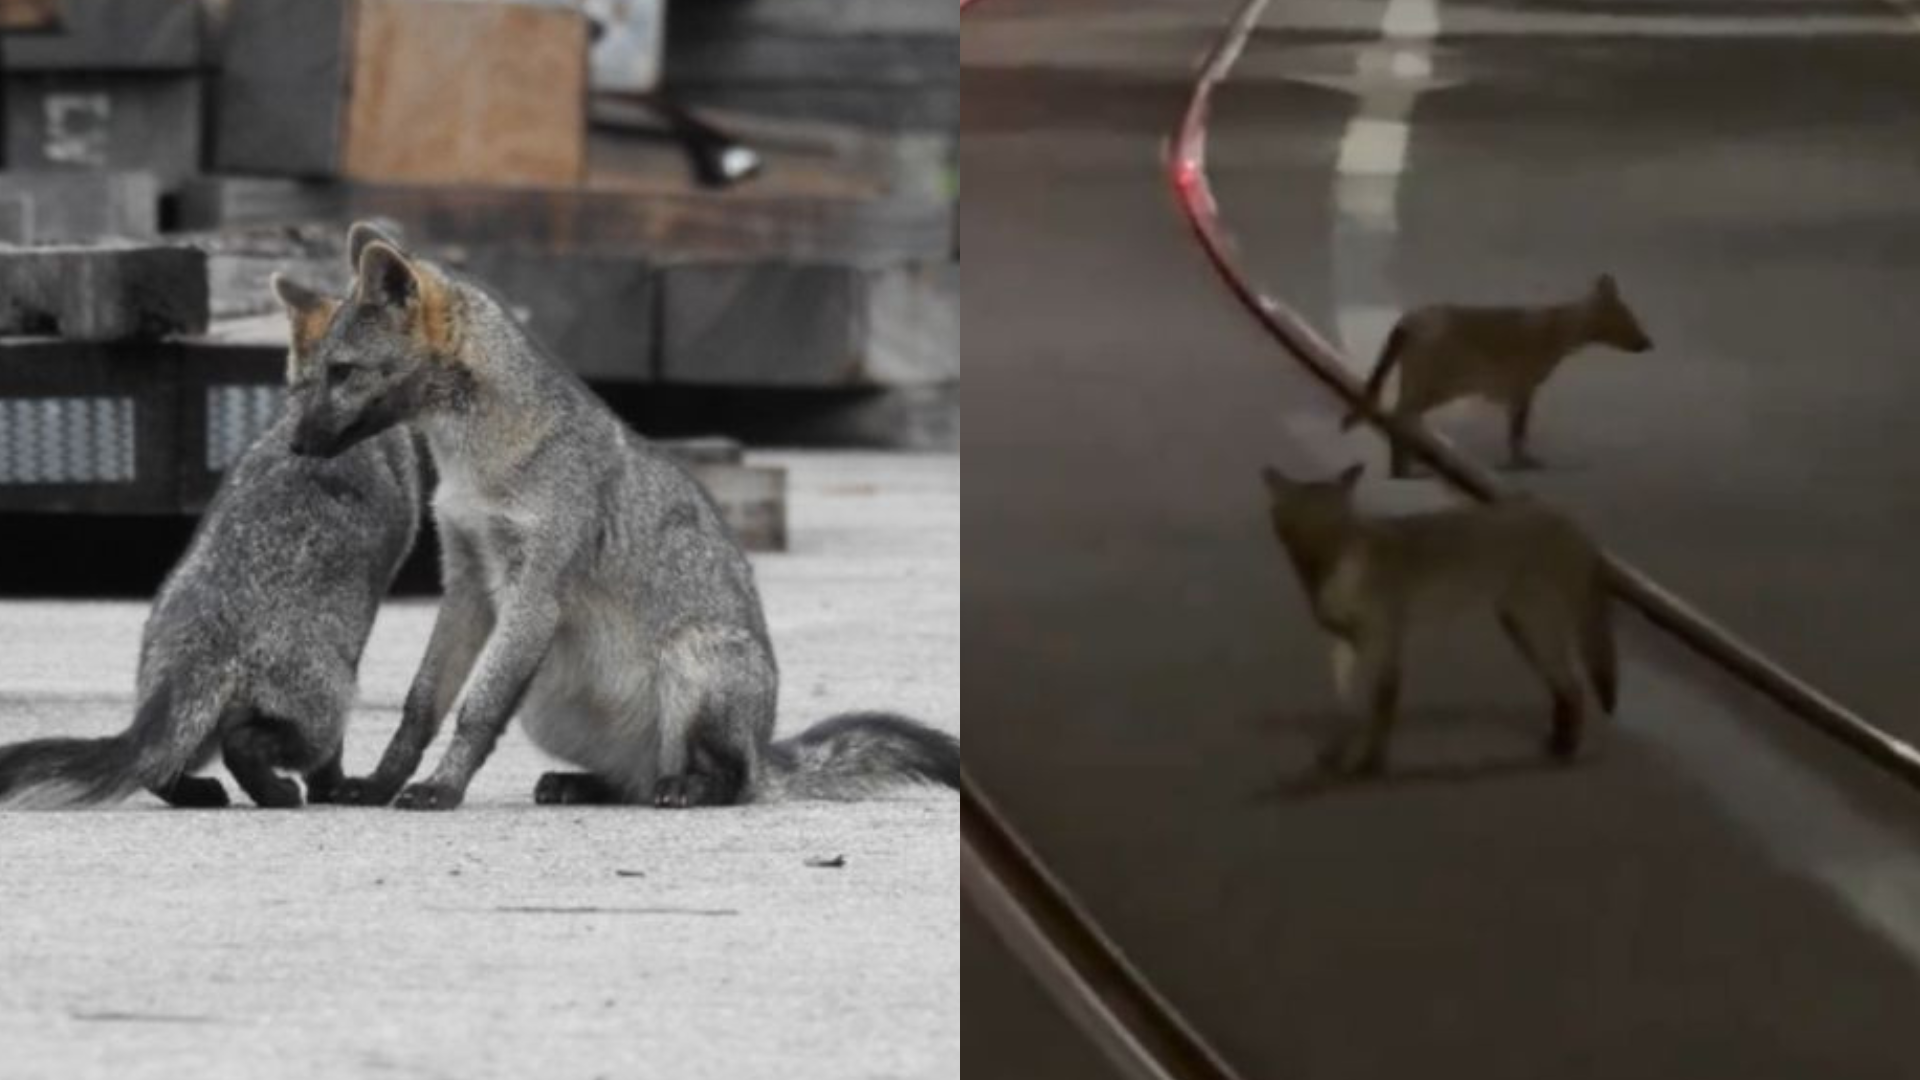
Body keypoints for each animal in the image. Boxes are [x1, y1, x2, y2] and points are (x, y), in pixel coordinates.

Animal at [0, 274, 420, 807]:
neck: (308, 401)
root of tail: (195, 646)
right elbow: (332, 758)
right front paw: (332, 788)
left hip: (196, 722)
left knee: (156, 767)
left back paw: (201, 792)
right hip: (329, 702)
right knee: (245, 745)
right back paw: (278, 793)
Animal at [286, 220, 960, 807]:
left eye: (342, 372)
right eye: (311, 375)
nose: (295, 445)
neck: (475, 464)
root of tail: (761, 748)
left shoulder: (534, 594)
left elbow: (477, 710)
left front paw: (442, 790)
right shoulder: (467, 584)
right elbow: (421, 705)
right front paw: (379, 783)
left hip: (692, 663)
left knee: (728, 783)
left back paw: (690, 788)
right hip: (549, 708)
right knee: (632, 783)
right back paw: (588, 784)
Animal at [1259, 457, 1620, 768]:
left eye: (1336, 521)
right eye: (1298, 520)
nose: (1318, 541)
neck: (1326, 574)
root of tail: (1570, 521)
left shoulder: (1384, 640)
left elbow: (1381, 707)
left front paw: (1367, 762)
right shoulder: (1347, 644)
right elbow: (1344, 706)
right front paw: (1337, 753)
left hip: (1536, 626)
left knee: (1573, 686)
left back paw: (1566, 748)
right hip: (1521, 627)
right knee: (1562, 688)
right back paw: (1556, 743)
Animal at [1351, 270, 1651, 472]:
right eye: (1629, 320)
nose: (1648, 343)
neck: (1558, 328)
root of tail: (1407, 321)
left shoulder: (1518, 391)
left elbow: (1516, 430)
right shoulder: (1522, 387)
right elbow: (1517, 431)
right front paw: (1521, 462)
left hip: (1417, 382)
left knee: (1403, 418)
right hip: (1432, 385)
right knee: (1399, 418)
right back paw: (1402, 466)